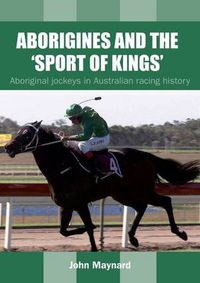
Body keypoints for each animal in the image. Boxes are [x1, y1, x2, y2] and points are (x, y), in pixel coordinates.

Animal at [4, 121, 200, 252]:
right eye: (19, 132)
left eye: (27, 134)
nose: (7, 146)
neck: (62, 167)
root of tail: (145, 156)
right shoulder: (66, 206)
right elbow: (63, 231)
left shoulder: (81, 203)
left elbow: (88, 227)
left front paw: (94, 242)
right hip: (123, 194)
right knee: (142, 207)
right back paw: (132, 237)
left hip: (142, 190)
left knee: (165, 201)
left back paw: (179, 232)